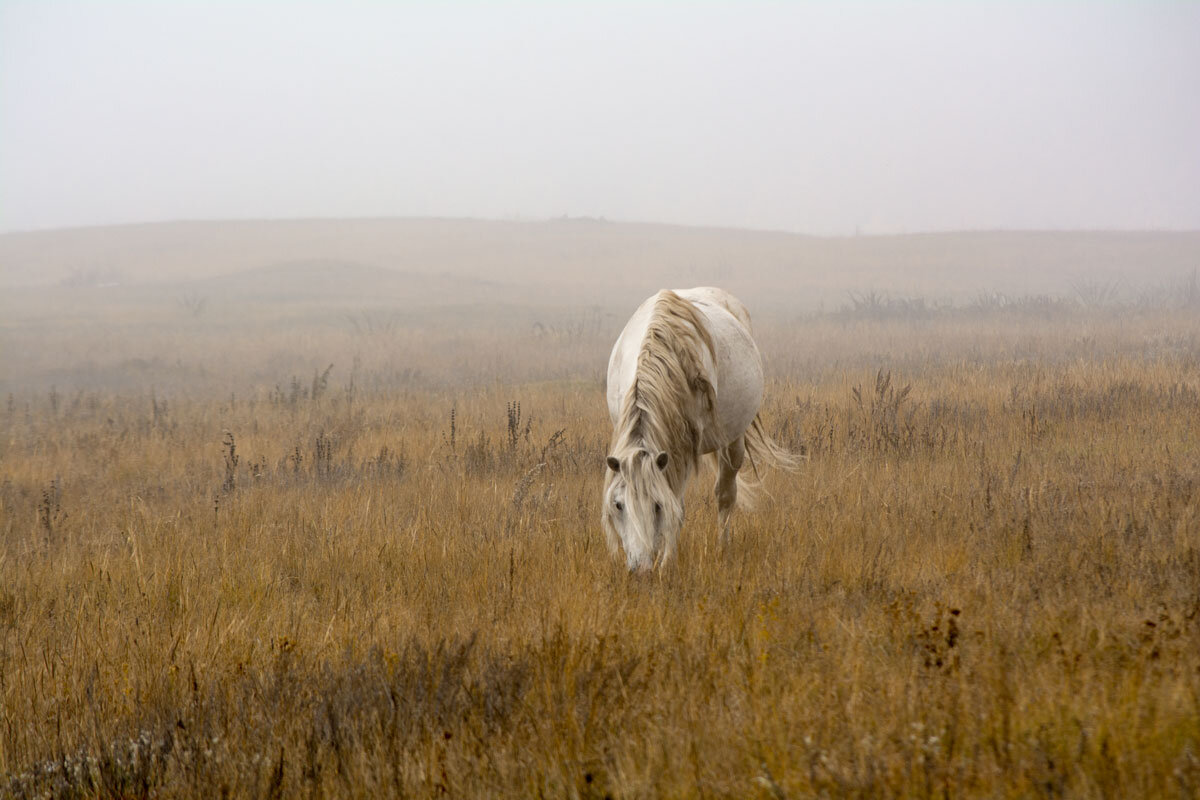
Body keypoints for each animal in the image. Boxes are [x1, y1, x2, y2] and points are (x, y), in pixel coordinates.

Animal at [600, 287, 796, 568]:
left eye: (657, 506)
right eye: (618, 505)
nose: (640, 568)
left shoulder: (680, 451)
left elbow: (677, 508)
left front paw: (667, 563)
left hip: (733, 443)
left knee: (725, 494)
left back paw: (723, 547)